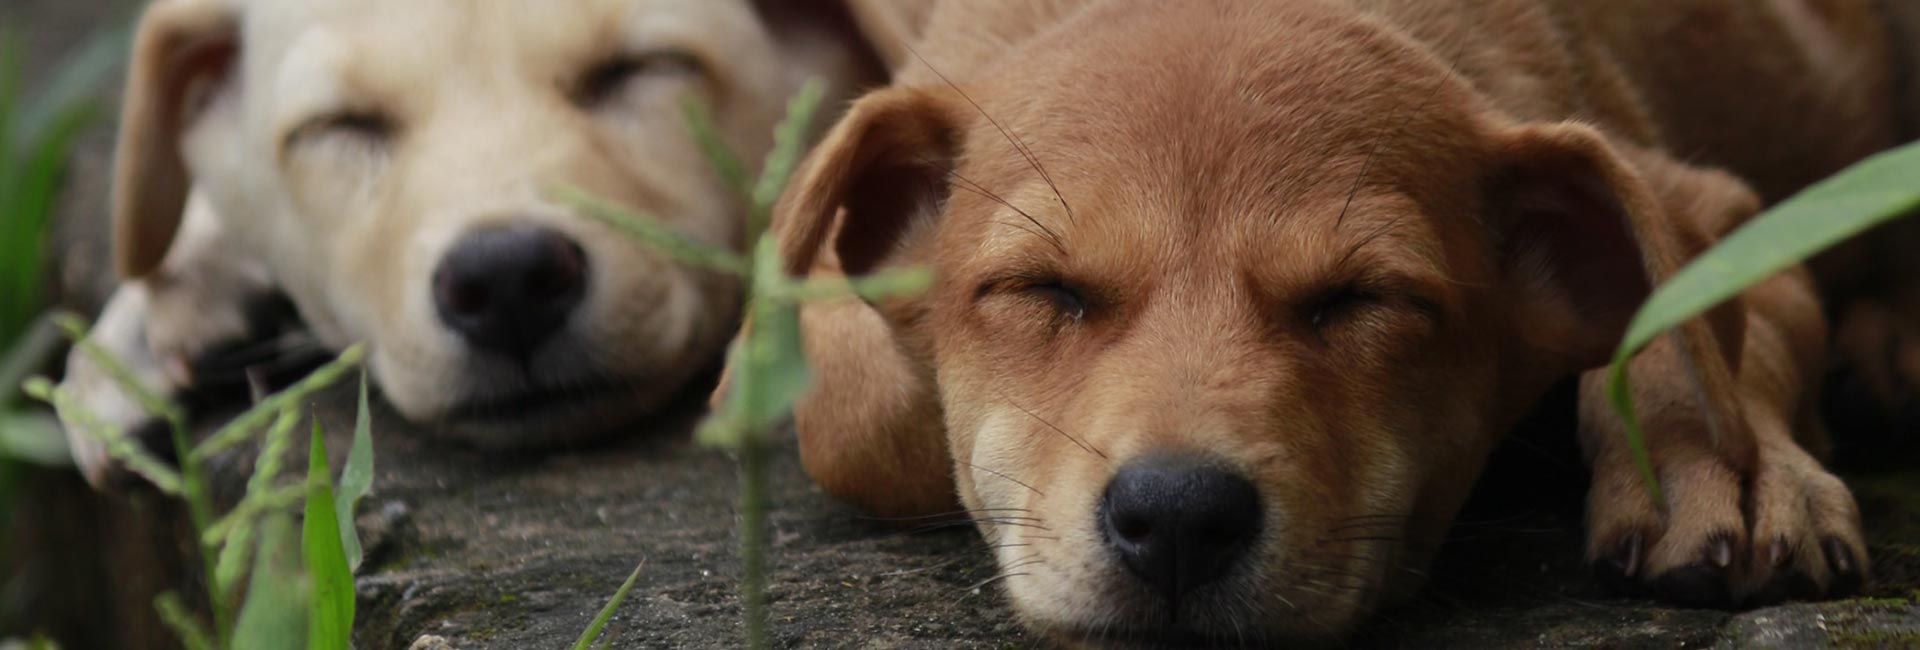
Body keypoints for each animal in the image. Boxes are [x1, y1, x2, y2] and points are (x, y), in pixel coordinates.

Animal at [771, 0, 1912, 648]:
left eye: (1363, 298)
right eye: (1043, 289)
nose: (1177, 519)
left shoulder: (1721, 207)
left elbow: (1694, 322)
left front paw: (1733, 468)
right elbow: (860, 418)